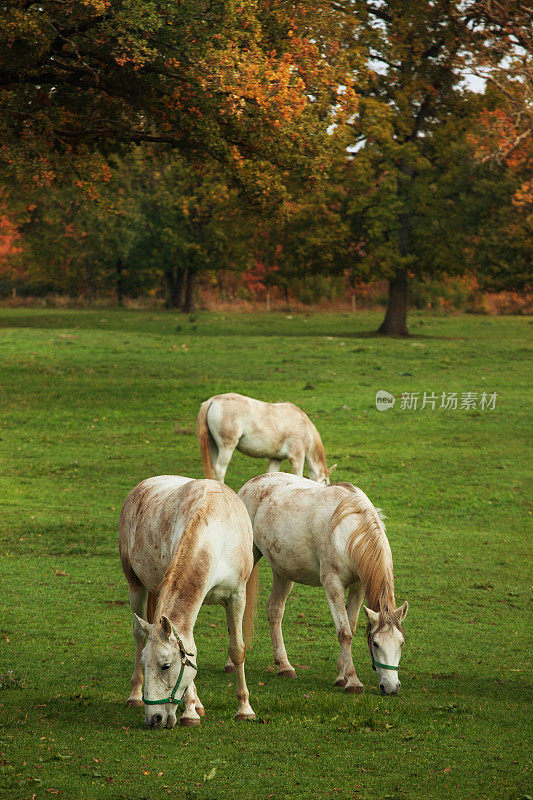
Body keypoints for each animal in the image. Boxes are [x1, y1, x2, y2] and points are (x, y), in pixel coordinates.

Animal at [118, 478, 258, 728]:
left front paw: (245, 709)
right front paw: (190, 711)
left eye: (166, 665)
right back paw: (135, 696)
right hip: (136, 586)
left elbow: (237, 649)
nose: (154, 718)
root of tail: (142, 486)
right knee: (139, 634)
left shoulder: (237, 596)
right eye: (145, 662)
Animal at [195, 392, 336, 482]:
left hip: (213, 446)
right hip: (226, 447)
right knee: (219, 470)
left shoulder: (275, 458)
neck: (305, 426)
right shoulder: (297, 458)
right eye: (325, 482)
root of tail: (212, 400)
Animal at [237, 476, 408, 692]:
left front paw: (341, 675)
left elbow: (351, 627)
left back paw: (285, 666)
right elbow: (344, 632)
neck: (348, 531)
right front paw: (352, 680)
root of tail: (250, 484)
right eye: (375, 643)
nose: (391, 687)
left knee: (275, 610)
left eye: (401, 643)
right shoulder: (333, 584)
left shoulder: (358, 586)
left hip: (282, 572)